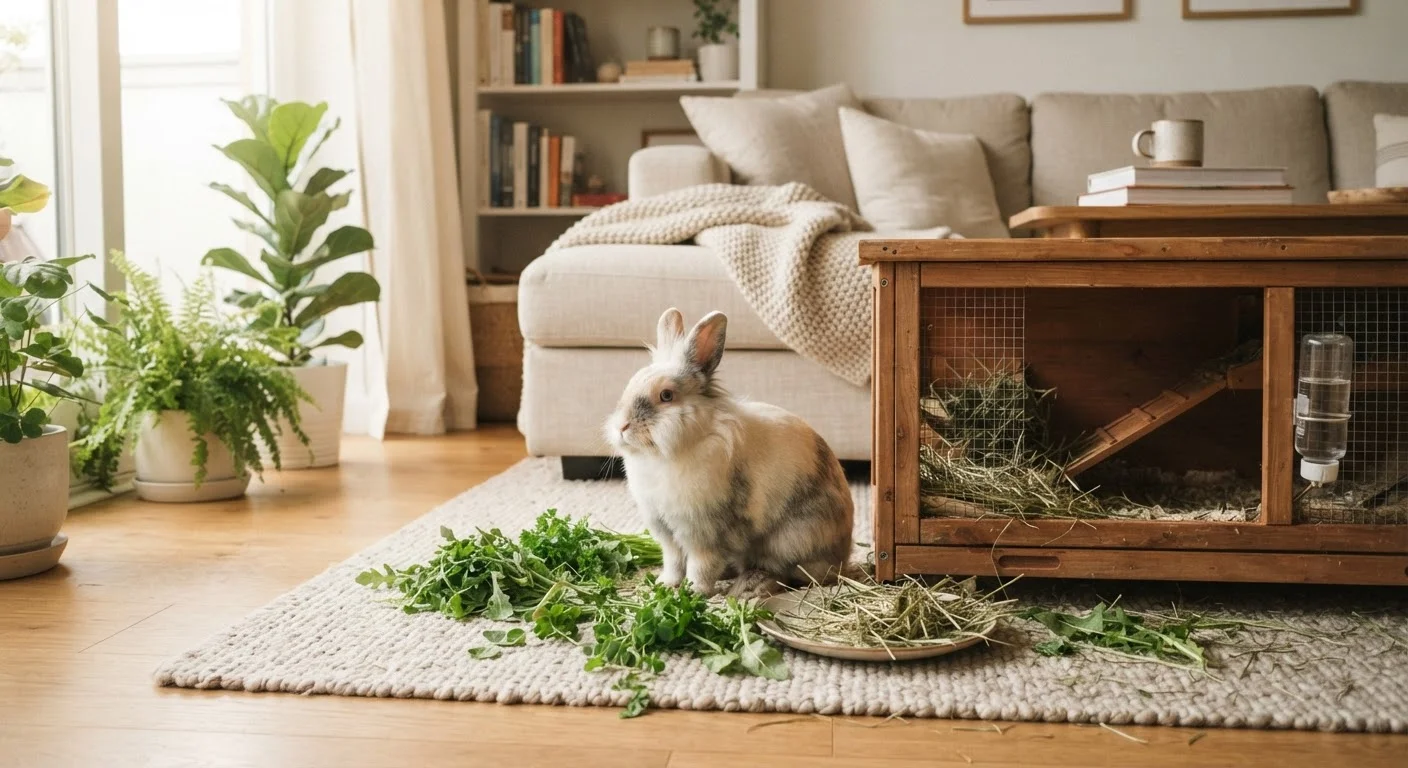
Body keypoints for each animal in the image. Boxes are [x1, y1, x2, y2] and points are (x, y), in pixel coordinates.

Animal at [604, 307, 854, 596]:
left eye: (666, 395)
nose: (622, 426)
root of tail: (843, 555)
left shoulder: (704, 532)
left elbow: (701, 565)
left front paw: (695, 591)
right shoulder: (667, 532)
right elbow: (673, 562)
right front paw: (665, 585)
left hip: (790, 539)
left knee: (788, 573)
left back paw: (750, 584)